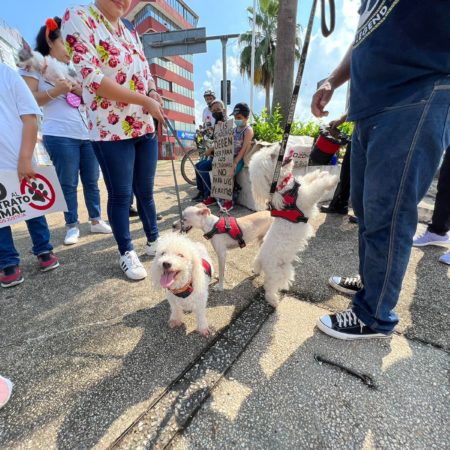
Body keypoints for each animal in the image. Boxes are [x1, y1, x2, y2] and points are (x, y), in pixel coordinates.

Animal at [250, 146, 338, 308]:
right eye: (272, 156)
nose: (281, 146)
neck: (285, 189)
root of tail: (261, 260)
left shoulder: (303, 185)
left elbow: (309, 177)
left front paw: (320, 173)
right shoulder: (307, 197)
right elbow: (318, 187)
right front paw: (332, 180)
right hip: (279, 272)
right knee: (269, 286)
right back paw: (273, 300)